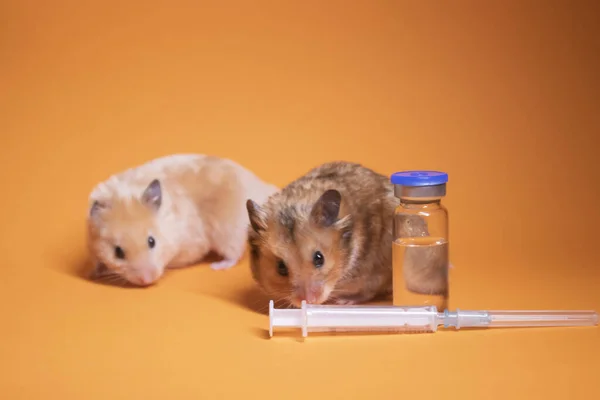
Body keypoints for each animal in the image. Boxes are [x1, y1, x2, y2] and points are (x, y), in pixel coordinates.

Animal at [86, 152, 278, 286]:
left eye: (151, 241)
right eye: (117, 252)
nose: (147, 280)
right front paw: (96, 272)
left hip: (228, 231)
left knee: (234, 253)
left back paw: (217, 265)